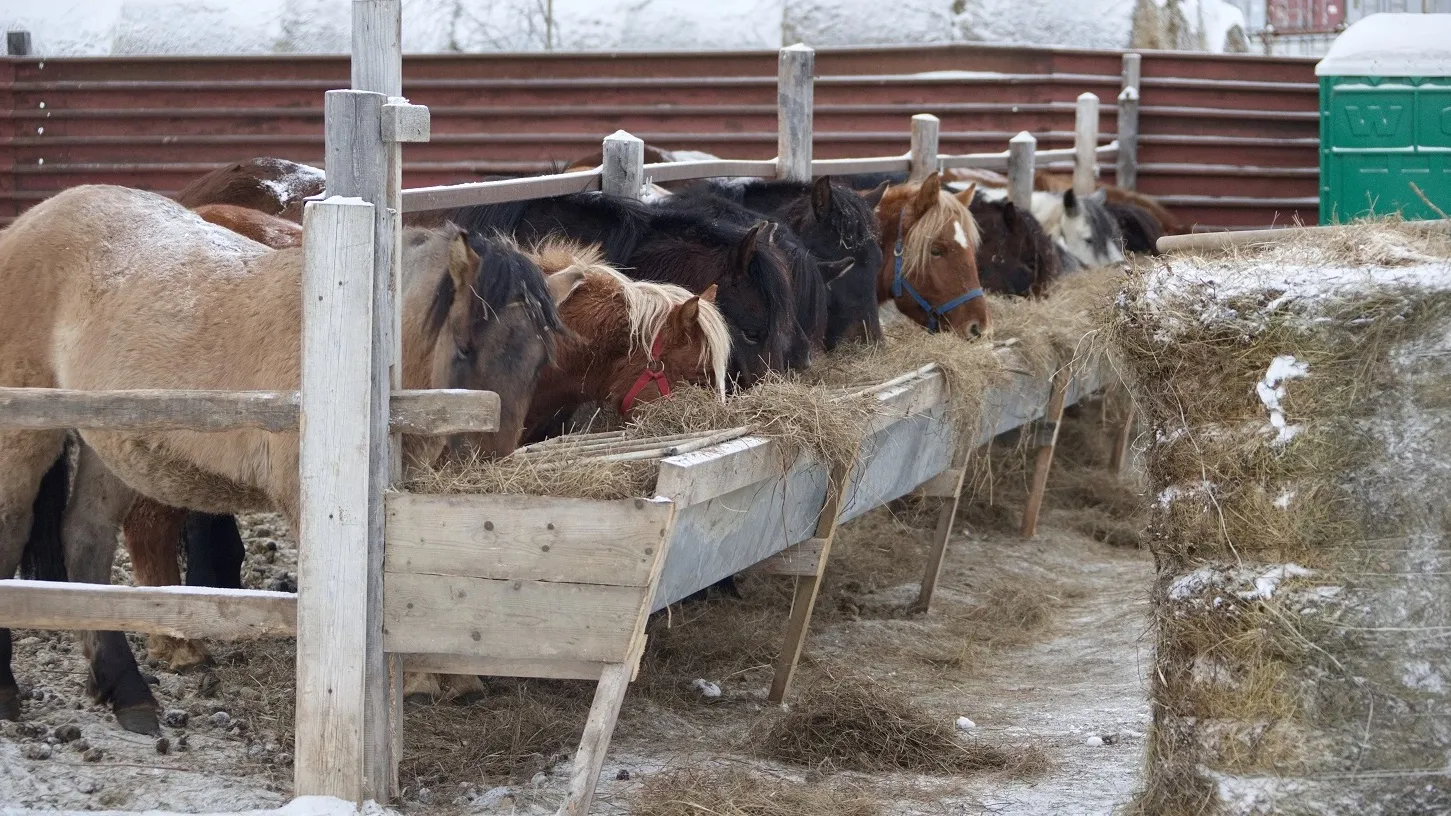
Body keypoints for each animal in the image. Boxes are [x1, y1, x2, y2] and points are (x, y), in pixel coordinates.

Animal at [0, 185, 574, 731]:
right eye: (463, 349)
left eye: (539, 364)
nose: (484, 476)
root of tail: (28, 223)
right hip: (28, 433)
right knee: (15, 528)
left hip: (114, 441)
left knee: (87, 539)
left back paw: (127, 692)